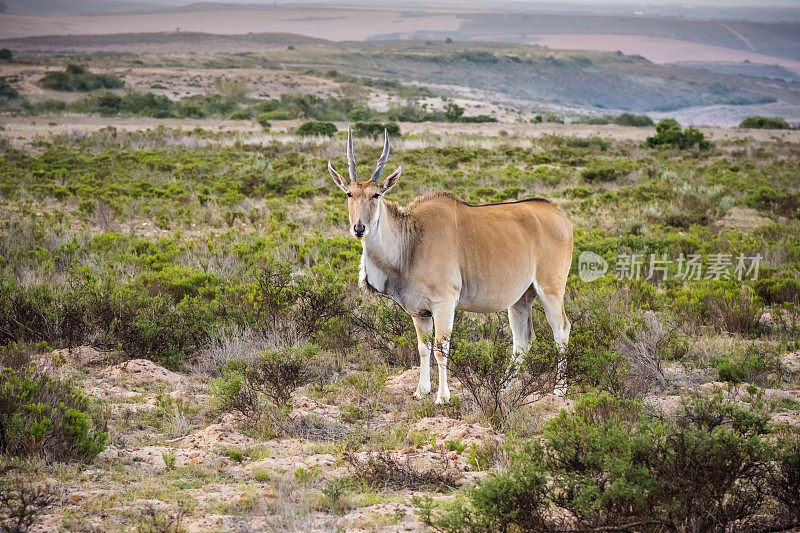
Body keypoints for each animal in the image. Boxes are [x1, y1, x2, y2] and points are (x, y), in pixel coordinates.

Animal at [328, 128, 572, 404]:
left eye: (376, 195)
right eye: (349, 194)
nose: (359, 228)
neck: (412, 239)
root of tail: (560, 215)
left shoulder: (444, 304)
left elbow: (440, 349)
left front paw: (442, 397)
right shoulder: (420, 312)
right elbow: (423, 349)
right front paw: (421, 390)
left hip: (550, 290)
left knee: (561, 330)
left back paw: (559, 389)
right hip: (521, 297)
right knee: (522, 340)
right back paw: (503, 387)